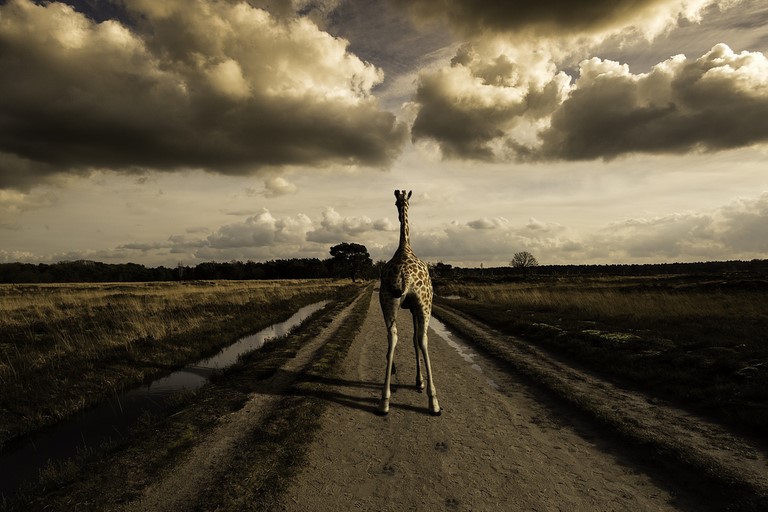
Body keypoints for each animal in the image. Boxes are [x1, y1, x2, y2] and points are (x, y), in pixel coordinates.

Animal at [376, 189, 438, 416]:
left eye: (398, 202)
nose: (398, 210)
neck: (405, 246)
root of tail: (405, 275)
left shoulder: (408, 307)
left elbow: (407, 338)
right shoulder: (414, 307)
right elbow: (414, 339)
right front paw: (419, 382)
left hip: (387, 301)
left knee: (392, 336)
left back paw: (384, 401)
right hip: (425, 304)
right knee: (423, 338)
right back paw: (433, 402)